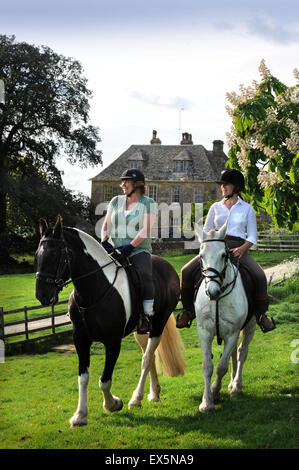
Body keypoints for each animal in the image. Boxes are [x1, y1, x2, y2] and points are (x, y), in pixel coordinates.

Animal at [35, 217, 185, 426]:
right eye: (37, 254)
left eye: (56, 254)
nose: (41, 294)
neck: (94, 291)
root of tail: (167, 266)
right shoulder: (80, 339)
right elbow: (83, 377)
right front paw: (80, 415)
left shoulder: (113, 342)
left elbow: (104, 379)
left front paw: (113, 404)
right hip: (140, 331)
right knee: (149, 355)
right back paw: (153, 394)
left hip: (158, 324)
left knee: (147, 358)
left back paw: (136, 398)